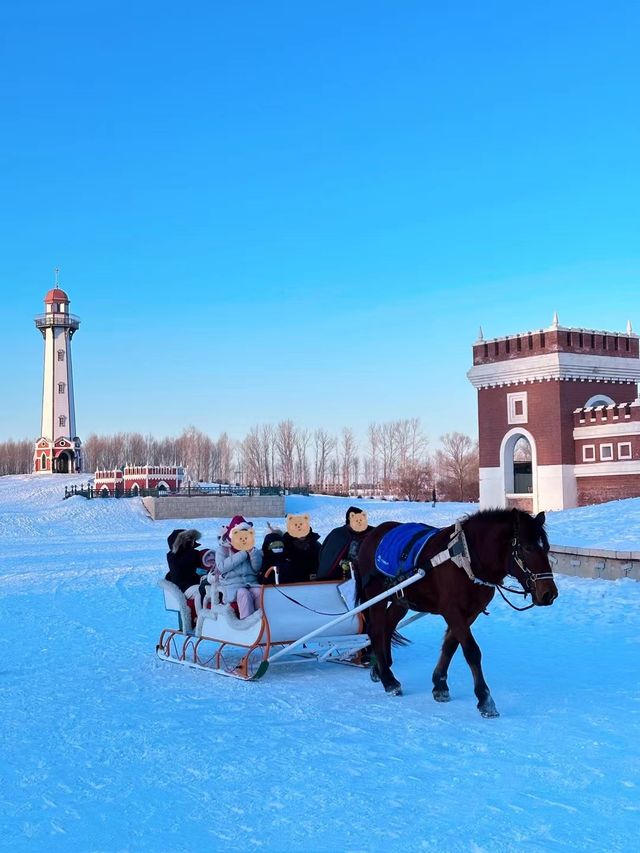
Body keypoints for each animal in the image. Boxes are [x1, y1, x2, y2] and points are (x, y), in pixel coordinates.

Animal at [358, 510, 556, 716]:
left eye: (547, 548)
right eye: (527, 548)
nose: (549, 593)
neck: (464, 559)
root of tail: (372, 534)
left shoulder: (470, 613)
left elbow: (450, 646)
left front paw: (439, 684)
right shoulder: (452, 611)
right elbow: (471, 651)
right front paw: (485, 698)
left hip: (402, 600)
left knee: (387, 626)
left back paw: (381, 668)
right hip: (376, 596)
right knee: (376, 630)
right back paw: (389, 680)